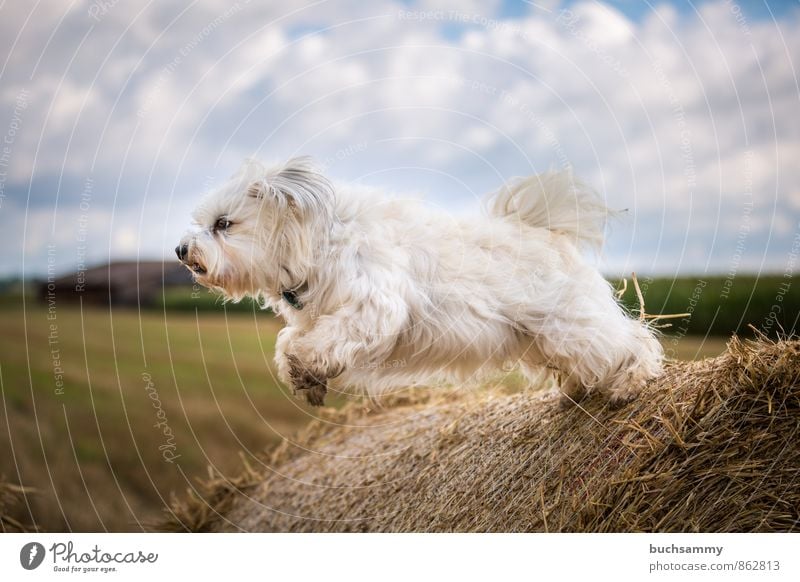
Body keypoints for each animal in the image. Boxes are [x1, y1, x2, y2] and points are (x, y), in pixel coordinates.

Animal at [178, 157, 664, 408]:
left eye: (224, 224)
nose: (182, 250)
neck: (319, 241)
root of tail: (548, 231)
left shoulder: (373, 307)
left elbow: (314, 343)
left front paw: (307, 369)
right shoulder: (315, 318)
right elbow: (290, 342)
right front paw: (306, 379)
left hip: (572, 326)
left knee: (633, 341)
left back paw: (629, 384)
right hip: (543, 338)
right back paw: (576, 393)